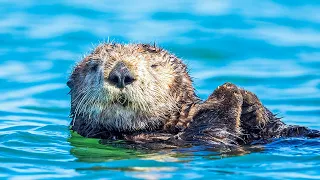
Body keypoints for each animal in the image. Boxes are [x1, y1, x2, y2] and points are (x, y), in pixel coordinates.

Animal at [66, 42, 318, 148]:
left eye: (154, 66)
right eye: (94, 67)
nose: (120, 74)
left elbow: (276, 128)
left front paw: (249, 103)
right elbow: (212, 133)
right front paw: (227, 92)